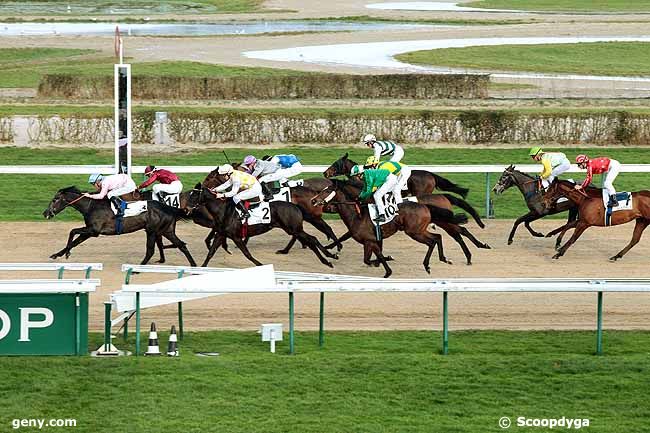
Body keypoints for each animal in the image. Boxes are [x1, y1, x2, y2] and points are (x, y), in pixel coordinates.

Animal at [43, 186, 196, 264]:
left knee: (151, 251)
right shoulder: (91, 232)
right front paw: (58, 254)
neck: (91, 206)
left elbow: (72, 231)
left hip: (153, 230)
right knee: (181, 245)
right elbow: (75, 240)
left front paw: (67, 253)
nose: (46, 213)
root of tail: (168, 207)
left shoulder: (94, 230)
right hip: (166, 230)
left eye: (55, 199)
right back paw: (194, 266)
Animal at [187, 184, 336, 268]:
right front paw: (201, 267)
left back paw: (330, 257)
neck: (223, 210)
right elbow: (211, 252)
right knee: (311, 240)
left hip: (294, 228)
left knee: (312, 239)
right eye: (189, 194)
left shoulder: (236, 236)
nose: (187, 208)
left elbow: (247, 253)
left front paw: (260, 264)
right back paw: (328, 258)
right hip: (293, 229)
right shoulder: (222, 234)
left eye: (194, 195)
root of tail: (295, 205)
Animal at [310, 178, 466, 276]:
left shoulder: (370, 240)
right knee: (437, 237)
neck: (357, 214)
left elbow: (374, 257)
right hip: (419, 230)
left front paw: (387, 268)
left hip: (414, 232)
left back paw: (428, 265)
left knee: (433, 241)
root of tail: (425, 206)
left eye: (326, 190)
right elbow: (369, 258)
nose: (313, 200)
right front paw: (385, 261)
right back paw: (444, 259)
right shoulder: (370, 241)